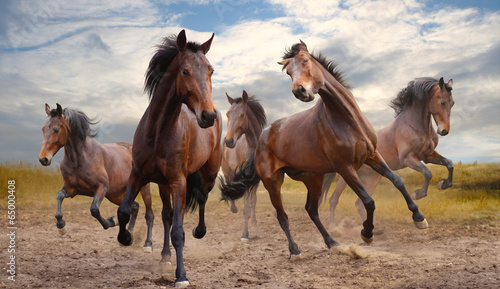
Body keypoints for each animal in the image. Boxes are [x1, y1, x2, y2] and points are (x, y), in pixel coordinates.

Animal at [38, 103, 153, 250]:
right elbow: (59, 196)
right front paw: (61, 226)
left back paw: (148, 244)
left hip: (143, 188)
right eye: (43, 128)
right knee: (134, 207)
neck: (81, 158)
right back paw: (129, 237)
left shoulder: (101, 188)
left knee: (149, 215)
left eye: (56, 129)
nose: (43, 159)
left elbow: (94, 210)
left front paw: (112, 221)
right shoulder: (71, 189)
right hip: (116, 194)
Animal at [116, 29, 222, 286]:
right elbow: (124, 210)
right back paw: (165, 256)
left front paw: (181, 276)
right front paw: (126, 238)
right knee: (166, 215)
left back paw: (199, 232)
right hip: (163, 184)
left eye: (211, 70)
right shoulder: (138, 174)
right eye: (185, 70)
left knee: (202, 197)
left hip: (209, 173)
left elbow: (178, 231)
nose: (208, 115)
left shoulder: (178, 181)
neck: (158, 132)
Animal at [223, 91, 268, 240]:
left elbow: (253, 203)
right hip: (227, 172)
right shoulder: (246, 181)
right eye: (227, 114)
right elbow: (246, 208)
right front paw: (245, 235)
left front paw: (256, 229)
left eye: (242, 115)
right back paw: (233, 208)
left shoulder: (257, 180)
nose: (228, 140)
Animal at [322, 76, 456, 227]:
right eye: (442, 102)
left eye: (452, 103)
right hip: (345, 179)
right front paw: (418, 194)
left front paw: (444, 184)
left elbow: (449, 164)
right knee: (333, 199)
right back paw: (332, 227)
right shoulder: (408, 159)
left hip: (372, 179)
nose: (444, 131)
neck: (415, 126)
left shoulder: (428, 156)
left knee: (359, 204)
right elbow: (428, 173)